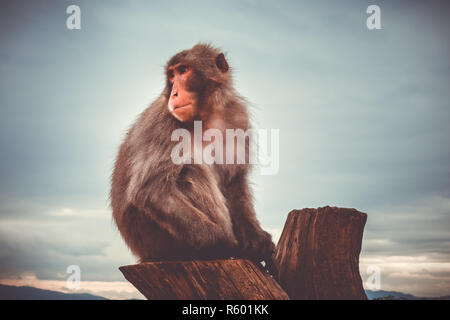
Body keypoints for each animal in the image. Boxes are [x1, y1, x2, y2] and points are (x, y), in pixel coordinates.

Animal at [110, 42, 276, 272]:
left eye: (183, 70)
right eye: (172, 75)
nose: (174, 93)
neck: (203, 116)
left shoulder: (237, 117)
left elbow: (234, 180)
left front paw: (258, 239)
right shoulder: (165, 123)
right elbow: (151, 189)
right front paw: (229, 245)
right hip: (160, 242)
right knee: (190, 170)